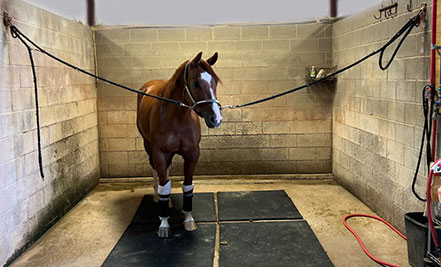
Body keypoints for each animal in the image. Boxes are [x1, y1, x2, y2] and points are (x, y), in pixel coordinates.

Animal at [136, 52, 222, 239]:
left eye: (215, 82)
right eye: (196, 83)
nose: (216, 119)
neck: (178, 116)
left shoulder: (192, 153)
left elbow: (187, 186)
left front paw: (188, 220)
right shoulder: (160, 153)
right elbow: (164, 185)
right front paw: (164, 224)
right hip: (149, 147)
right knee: (157, 174)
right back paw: (158, 196)